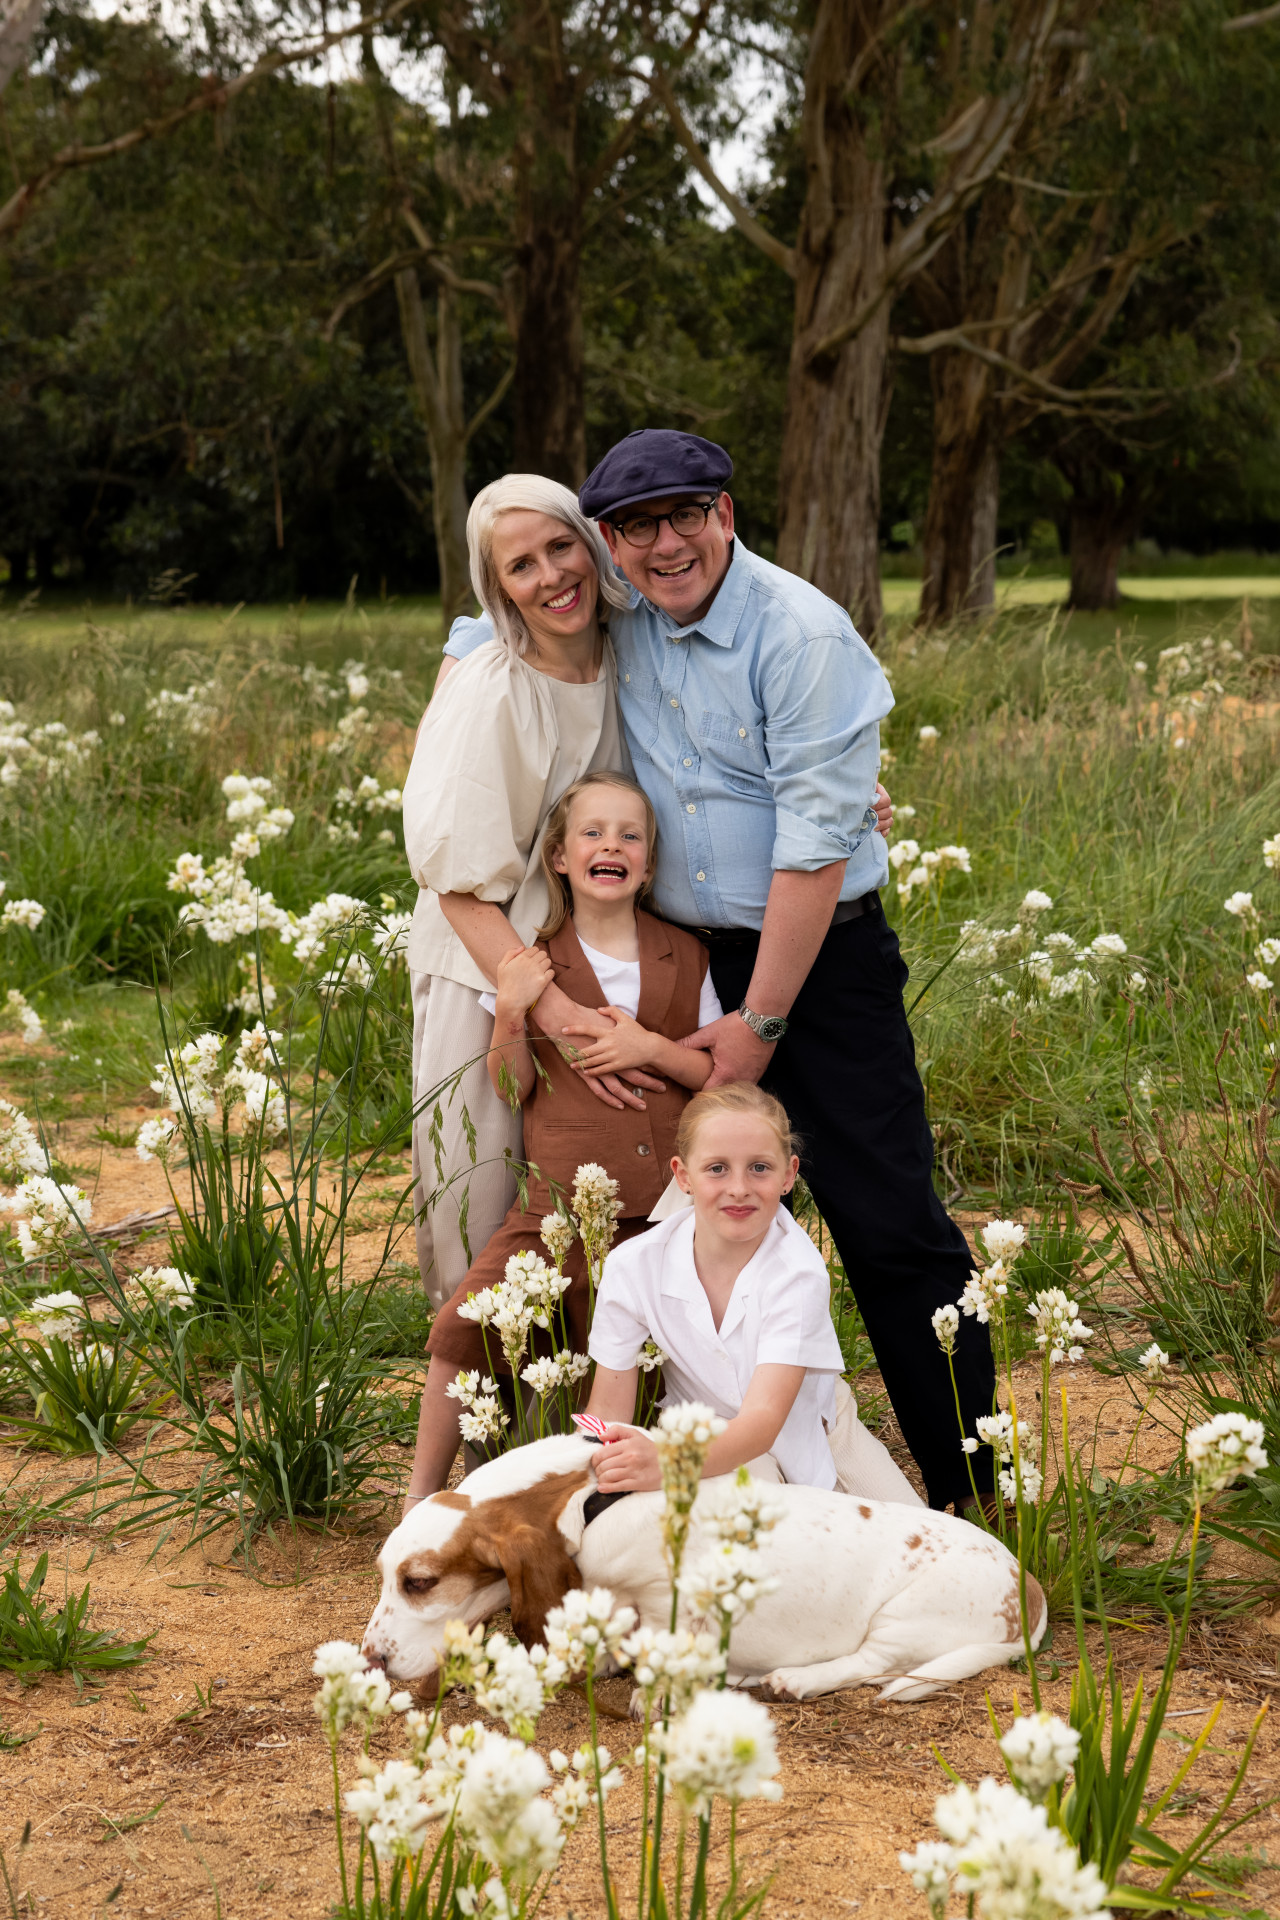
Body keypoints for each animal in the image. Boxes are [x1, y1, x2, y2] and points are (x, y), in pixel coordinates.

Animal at [364, 1436, 1043, 1704]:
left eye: (420, 1582)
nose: (370, 1659)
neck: (590, 1500)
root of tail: (1028, 1588)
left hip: (901, 1620)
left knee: (873, 1665)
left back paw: (792, 1680)